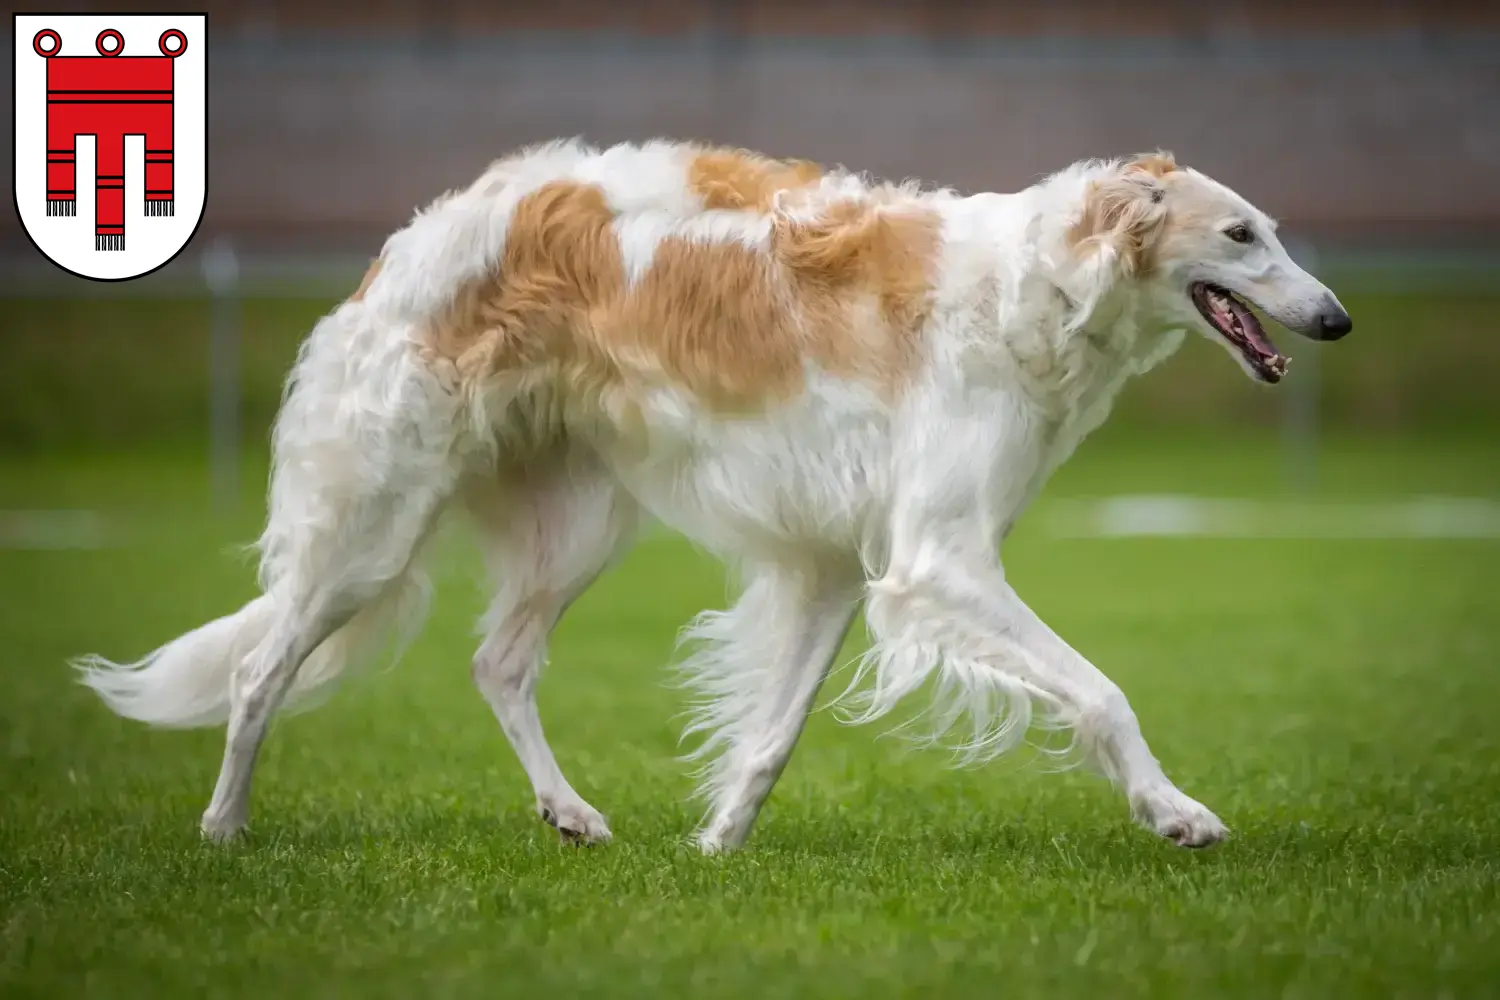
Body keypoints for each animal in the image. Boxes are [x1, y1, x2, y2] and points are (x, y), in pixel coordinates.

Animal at [76, 138, 1356, 851]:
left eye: (1276, 232)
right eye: (1241, 234)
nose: (1338, 317)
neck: (1034, 283)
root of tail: (413, 237)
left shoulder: (836, 565)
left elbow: (771, 736)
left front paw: (717, 844)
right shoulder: (939, 561)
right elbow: (1104, 694)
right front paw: (1175, 812)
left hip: (580, 521)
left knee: (497, 661)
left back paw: (571, 812)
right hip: (376, 526)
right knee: (258, 668)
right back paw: (224, 828)